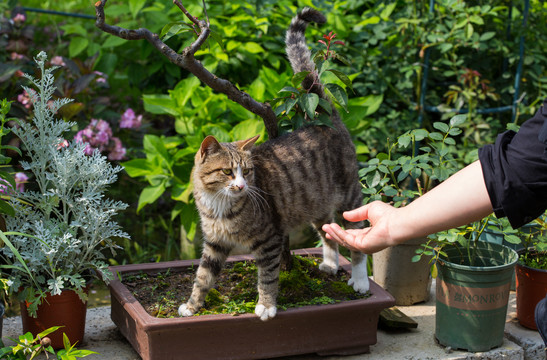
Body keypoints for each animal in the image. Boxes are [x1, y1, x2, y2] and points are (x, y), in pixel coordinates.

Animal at [179, 7, 368, 320]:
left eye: (247, 171)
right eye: (228, 171)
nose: (241, 186)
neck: (219, 204)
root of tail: (325, 118)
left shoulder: (269, 240)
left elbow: (267, 277)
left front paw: (266, 306)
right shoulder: (215, 242)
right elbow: (203, 276)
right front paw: (192, 305)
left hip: (348, 196)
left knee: (356, 236)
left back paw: (361, 279)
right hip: (314, 201)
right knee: (327, 230)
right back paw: (330, 263)